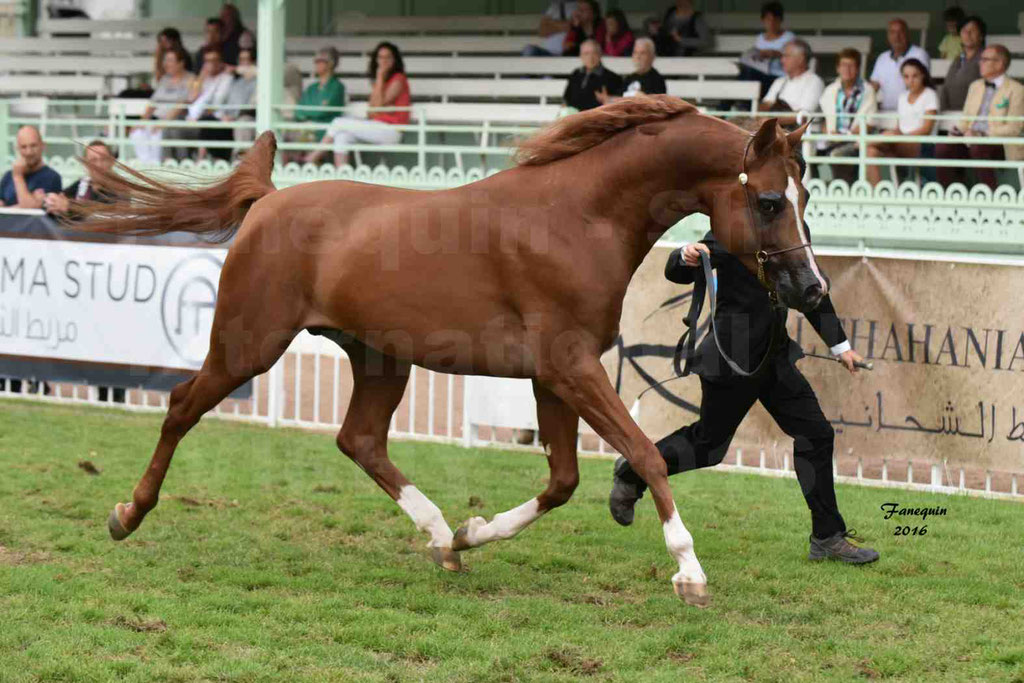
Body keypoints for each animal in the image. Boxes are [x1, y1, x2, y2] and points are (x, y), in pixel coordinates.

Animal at [83, 96, 827, 610]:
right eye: (768, 200)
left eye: (807, 193)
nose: (809, 287)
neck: (578, 216)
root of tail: (267, 203)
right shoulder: (570, 368)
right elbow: (643, 453)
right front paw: (689, 572)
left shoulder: (556, 377)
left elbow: (564, 480)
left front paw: (473, 532)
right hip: (248, 344)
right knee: (182, 405)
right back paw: (127, 513)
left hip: (379, 358)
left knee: (359, 440)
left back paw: (442, 538)